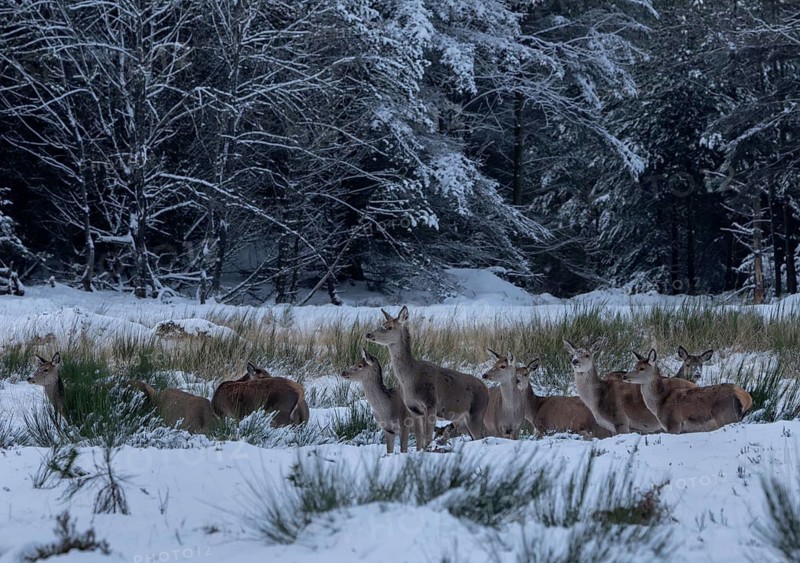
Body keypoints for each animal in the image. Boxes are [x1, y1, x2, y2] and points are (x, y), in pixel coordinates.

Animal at [365, 306, 488, 448]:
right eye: (382, 323)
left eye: (389, 327)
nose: (368, 334)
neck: (411, 377)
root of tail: (486, 389)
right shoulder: (413, 409)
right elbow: (420, 440)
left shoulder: (431, 403)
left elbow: (427, 439)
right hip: (464, 418)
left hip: (476, 412)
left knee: (480, 436)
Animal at [622, 349, 752, 434]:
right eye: (635, 365)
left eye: (641, 368)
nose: (624, 376)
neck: (660, 404)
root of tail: (747, 399)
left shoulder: (673, 423)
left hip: (728, 416)